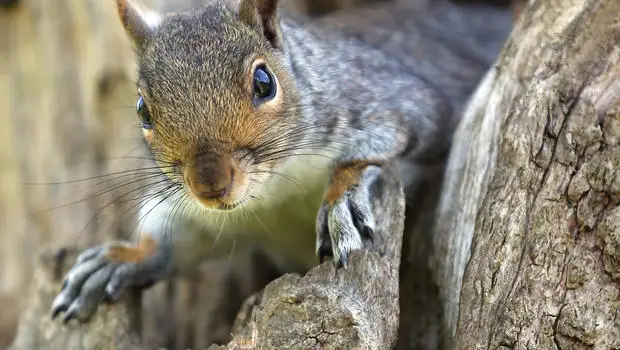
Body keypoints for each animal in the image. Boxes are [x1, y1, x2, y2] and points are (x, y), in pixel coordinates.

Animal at [49, 0, 512, 322]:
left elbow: (385, 146)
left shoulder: (397, 104)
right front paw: (122, 258)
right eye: (143, 110)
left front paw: (342, 197)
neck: (273, 191)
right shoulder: (201, 214)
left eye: (264, 82)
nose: (210, 184)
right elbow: (175, 239)